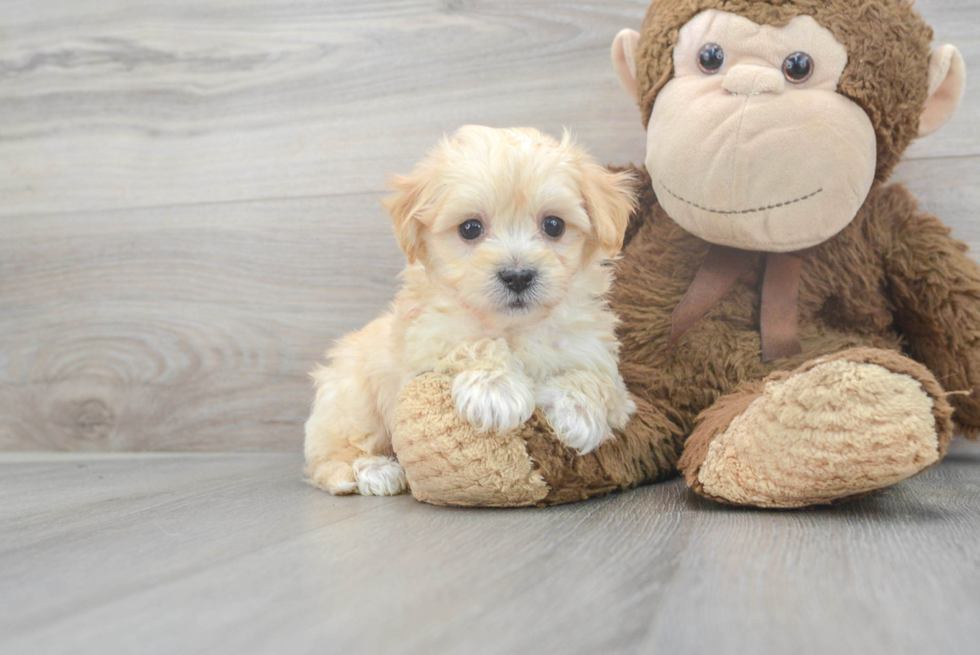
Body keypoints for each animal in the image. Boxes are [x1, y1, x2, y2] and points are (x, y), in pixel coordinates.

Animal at [308, 124, 644, 498]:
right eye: (470, 228)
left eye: (554, 225)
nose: (517, 275)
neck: (514, 329)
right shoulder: (426, 339)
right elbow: (470, 342)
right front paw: (496, 391)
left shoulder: (602, 365)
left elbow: (599, 381)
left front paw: (578, 412)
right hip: (353, 400)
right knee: (332, 457)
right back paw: (374, 471)